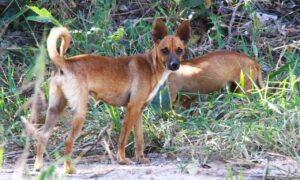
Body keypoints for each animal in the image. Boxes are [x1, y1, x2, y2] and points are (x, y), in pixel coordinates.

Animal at [34, 19, 190, 174]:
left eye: (179, 50)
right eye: (165, 50)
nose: (175, 65)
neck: (151, 65)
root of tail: (64, 62)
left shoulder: (139, 111)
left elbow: (139, 139)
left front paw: (140, 158)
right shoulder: (132, 108)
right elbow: (123, 137)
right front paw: (122, 159)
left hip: (55, 110)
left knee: (42, 136)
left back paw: (38, 166)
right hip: (80, 113)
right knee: (68, 141)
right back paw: (69, 169)